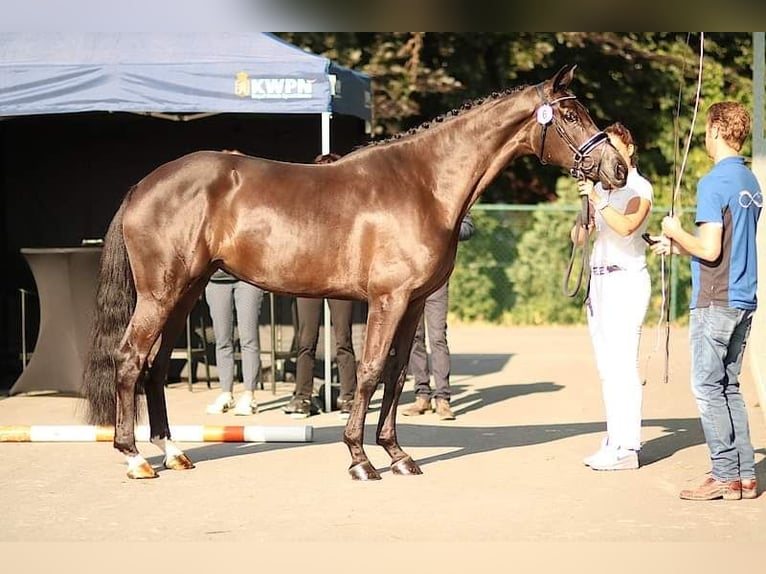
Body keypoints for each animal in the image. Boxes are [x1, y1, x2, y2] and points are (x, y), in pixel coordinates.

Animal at [82, 65, 632, 482]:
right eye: (569, 113)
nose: (618, 170)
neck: (423, 183)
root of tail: (143, 185)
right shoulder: (389, 299)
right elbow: (368, 373)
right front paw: (360, 459)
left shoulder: (413, 302)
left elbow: (395, 374)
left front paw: (398, 455)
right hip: (161, 293)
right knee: (129, 359)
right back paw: (134, 458)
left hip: (186, 291)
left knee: (155, 367)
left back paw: (172, 452)